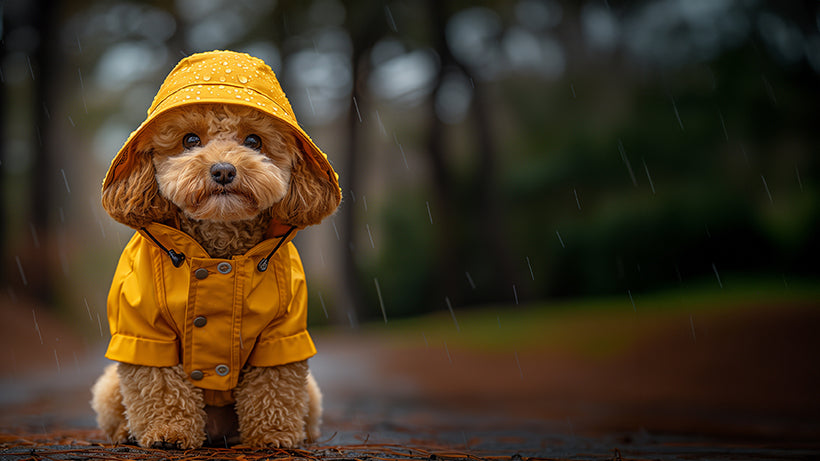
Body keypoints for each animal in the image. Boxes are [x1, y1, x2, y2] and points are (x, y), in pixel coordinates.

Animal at [90, 51, 342, 450]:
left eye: (254, 141)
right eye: (190, 139)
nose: (223, 170)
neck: (219, 250)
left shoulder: (281, 333)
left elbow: (274, 387)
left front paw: (273, 435)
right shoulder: (144, 329)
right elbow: (159, 385)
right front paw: (169, 432)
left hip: (313, 396)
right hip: (108, 388)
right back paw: (126, 433)